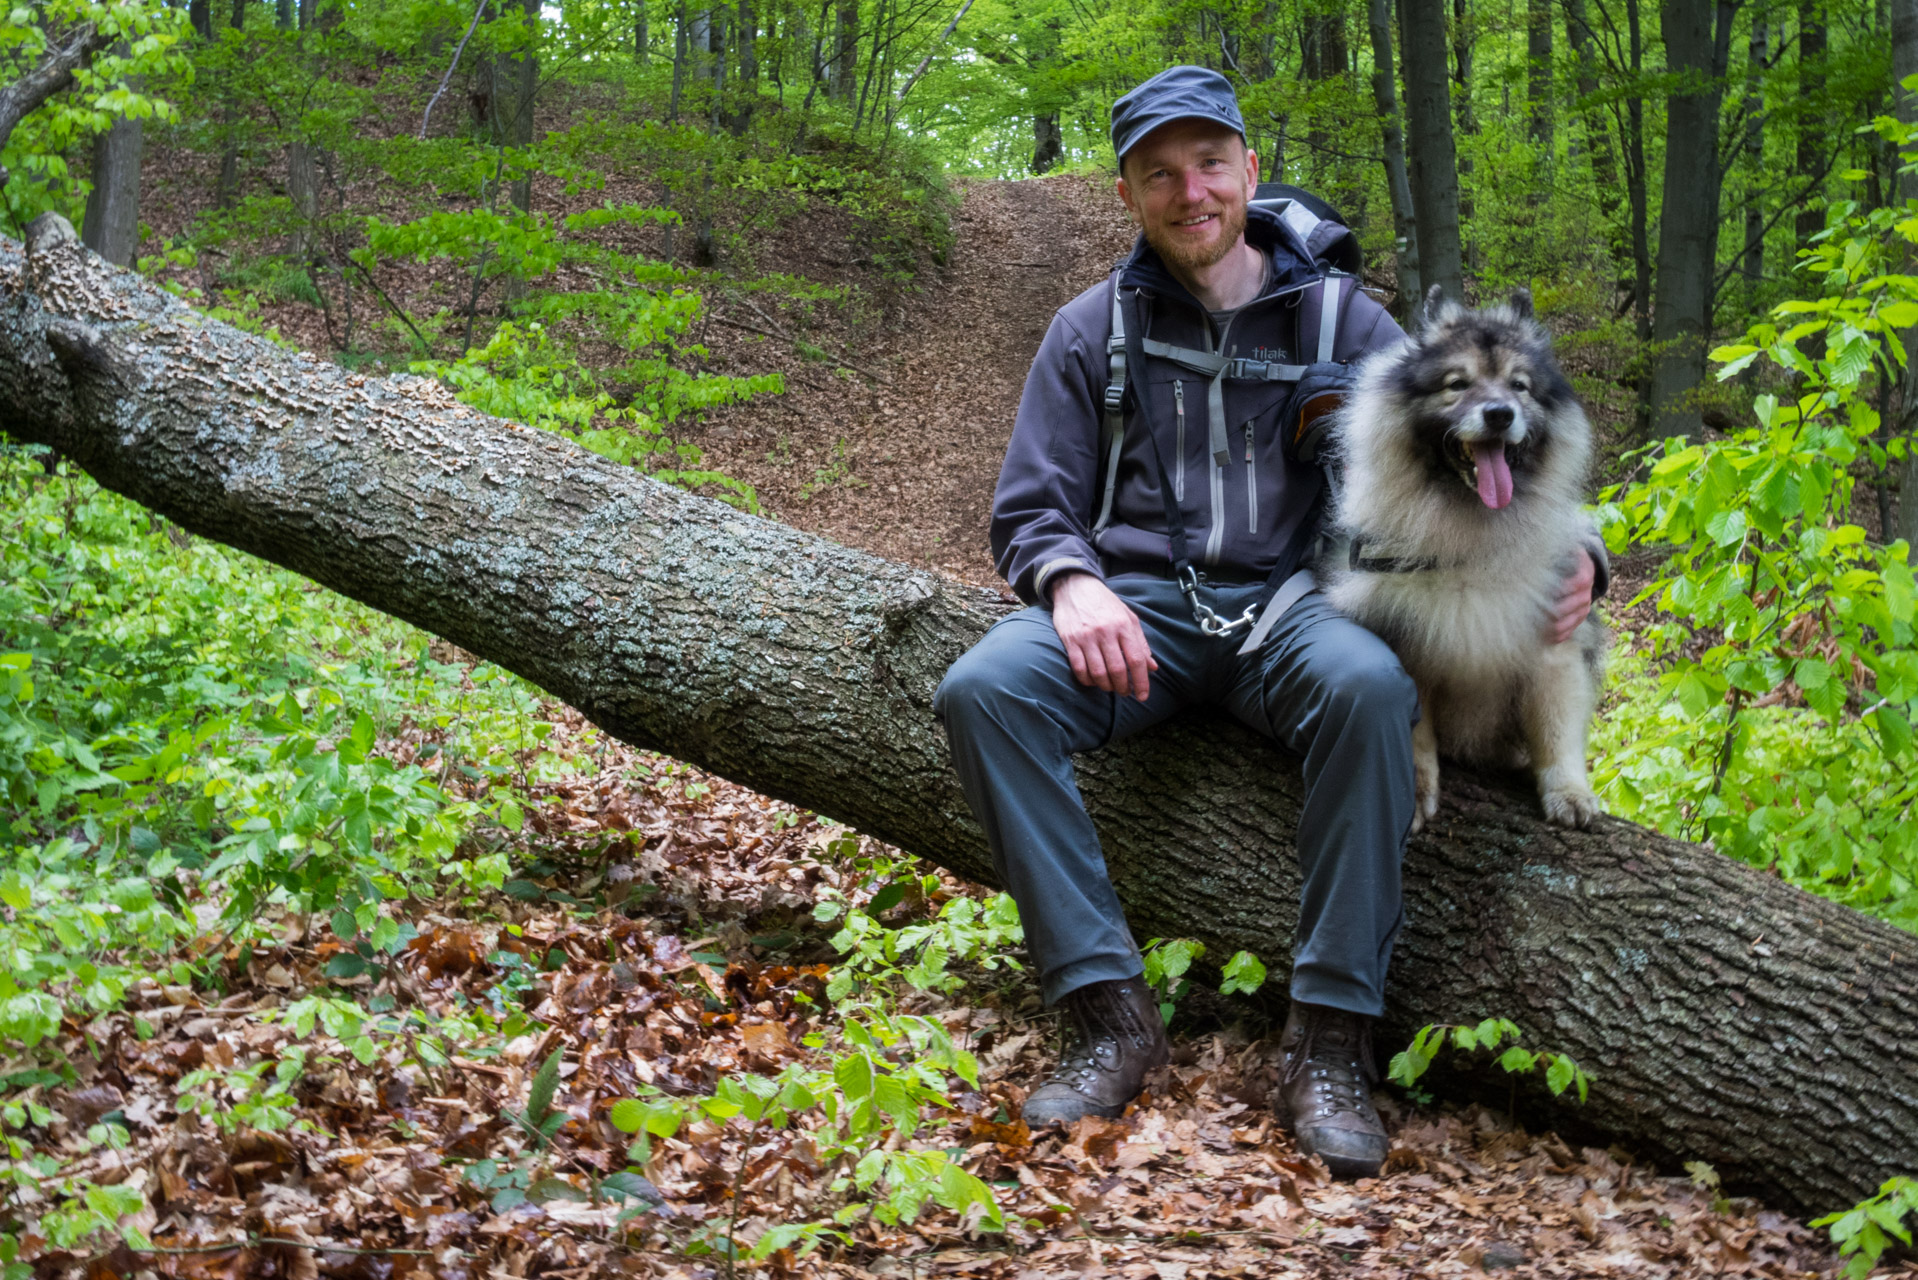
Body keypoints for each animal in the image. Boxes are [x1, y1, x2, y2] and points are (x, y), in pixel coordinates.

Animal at [1319, 284, 1603, 832]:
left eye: (1519, 386)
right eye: (1457, 384)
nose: (1499, 414)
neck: (1471, 540)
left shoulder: (1551, 645)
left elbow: (1555, 730)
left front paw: (1569, 791)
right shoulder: (1408, 651)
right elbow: (1415, 738)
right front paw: (1415, 789)